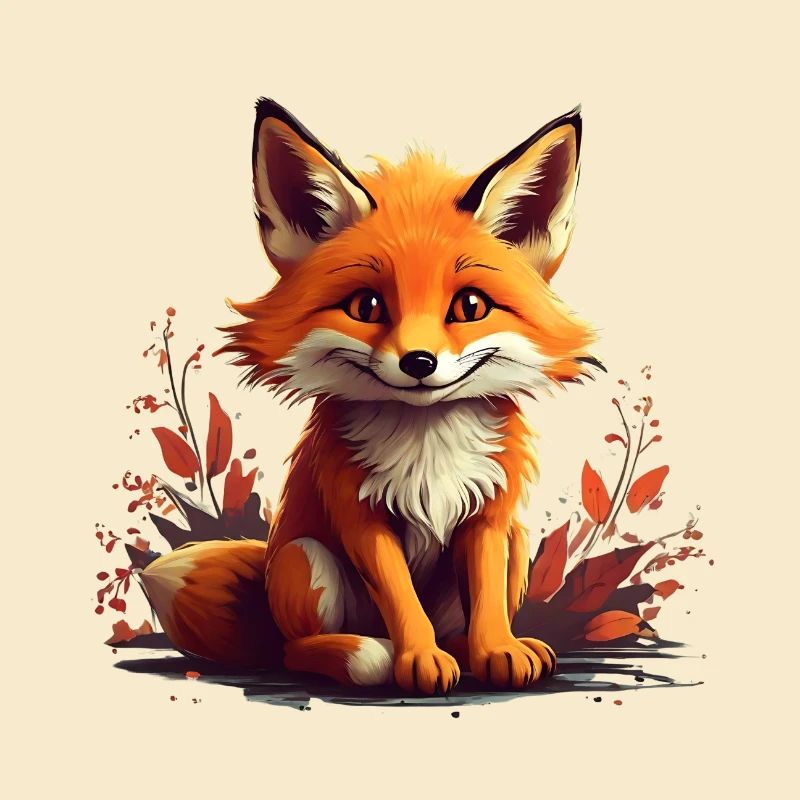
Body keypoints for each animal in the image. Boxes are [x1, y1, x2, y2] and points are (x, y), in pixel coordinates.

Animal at [139, 98, 600, 694]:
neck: (428, 445)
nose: (419, 362)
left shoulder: (489, 516)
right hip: (305, 558)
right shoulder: (359, 515)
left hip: (517, 544)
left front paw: (496, 650)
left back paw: (469, 650)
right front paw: (417, 660)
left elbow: (487, 602)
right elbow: (402, 601)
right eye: (367, 306)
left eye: (470, 306)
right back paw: (364, 654)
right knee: (294, 651)